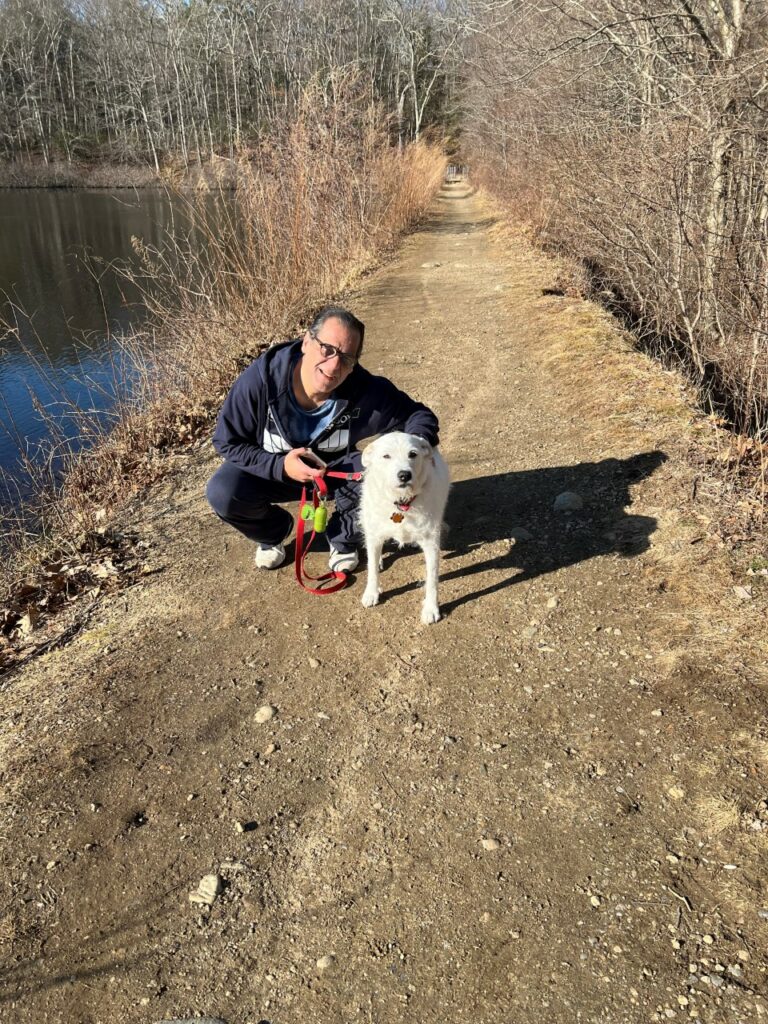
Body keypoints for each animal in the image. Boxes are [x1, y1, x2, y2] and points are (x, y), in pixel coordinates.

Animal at [360, 432, 450, 622]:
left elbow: (432, 578)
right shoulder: (374, 536)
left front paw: (431, 608)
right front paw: (371, 592)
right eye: (386, 456)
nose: (404, 475)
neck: (401, 502)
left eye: (413, 454)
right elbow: (371, 568)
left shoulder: (431, 542)